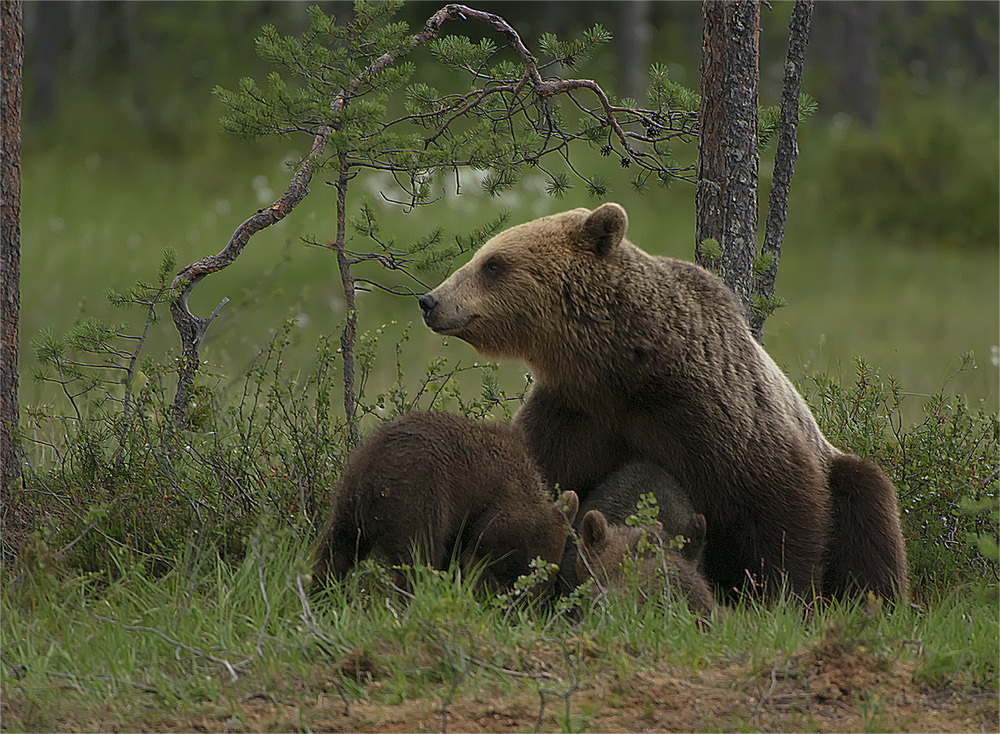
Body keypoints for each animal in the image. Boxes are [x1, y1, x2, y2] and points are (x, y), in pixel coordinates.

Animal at [418, 203, 912, 604]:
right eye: (481, 256)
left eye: (493, 264)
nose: (430, 300)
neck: (627, 369)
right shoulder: (575, 413)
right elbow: (537, 477)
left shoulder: (716, 413)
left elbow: (782, 504)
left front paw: (782, 596)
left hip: (841, 471)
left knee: (868, 505)